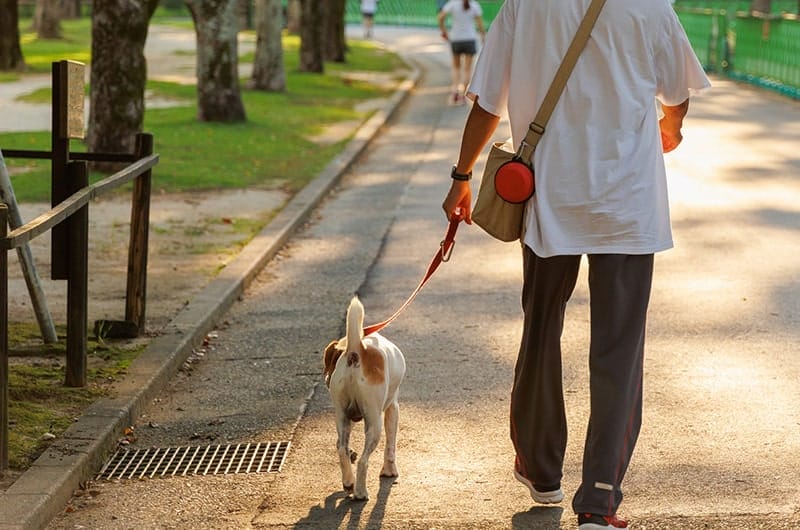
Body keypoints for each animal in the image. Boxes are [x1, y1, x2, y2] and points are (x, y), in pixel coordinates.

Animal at [322, 296, 406, 500]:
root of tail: (355, 350)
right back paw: (360, 492)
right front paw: (389, 470)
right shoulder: (393, 407)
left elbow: (340, 444)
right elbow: (391, 445)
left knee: (342, 450)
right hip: (374, 422)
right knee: (363, 461)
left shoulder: (349, 416)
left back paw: (348, 482)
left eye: (331, 362)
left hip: (342, 416)